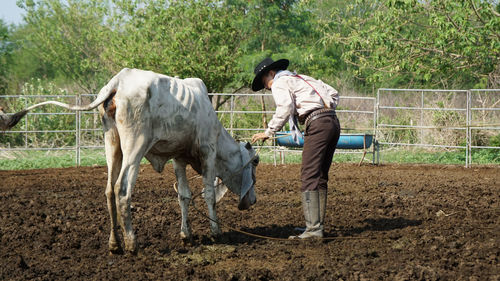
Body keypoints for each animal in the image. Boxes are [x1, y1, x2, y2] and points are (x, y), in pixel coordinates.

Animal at [0, 69, 258, 253]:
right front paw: (216, 232)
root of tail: (118, 83)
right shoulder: (208, 152)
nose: (253, 201)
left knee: (108, 190)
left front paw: (187, 235)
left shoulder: (178, 159)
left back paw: (115, 243)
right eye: (255, 165)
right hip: (135, 146)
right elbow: (209, 195)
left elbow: (183, 196)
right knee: (122, 189)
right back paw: (132, 243)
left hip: (112, 143)